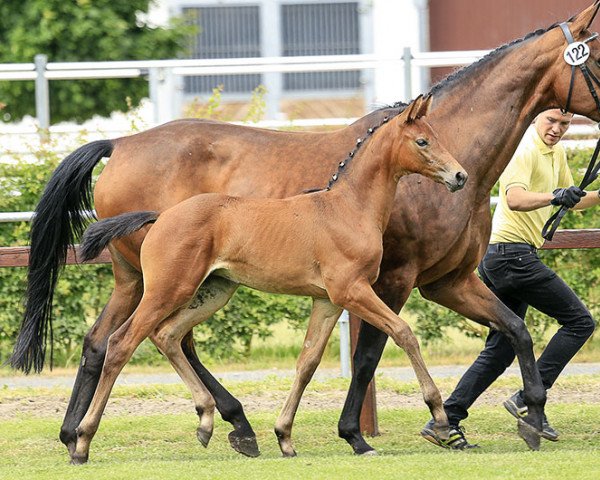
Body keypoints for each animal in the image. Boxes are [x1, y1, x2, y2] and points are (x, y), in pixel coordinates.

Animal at [74, 95, 468, 464]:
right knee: (122, 343)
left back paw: (206, 421)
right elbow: (404, 333)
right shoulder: (351, 291)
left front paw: (285, 437)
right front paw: (440, 419)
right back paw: (81, 441)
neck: (349, 208)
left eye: (436, 136)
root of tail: (159, 217)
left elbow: (307, 361)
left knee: (167, 335)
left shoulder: (326, 300)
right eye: (422, 141)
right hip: (167, 290)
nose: (460, 176)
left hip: (214, 290)